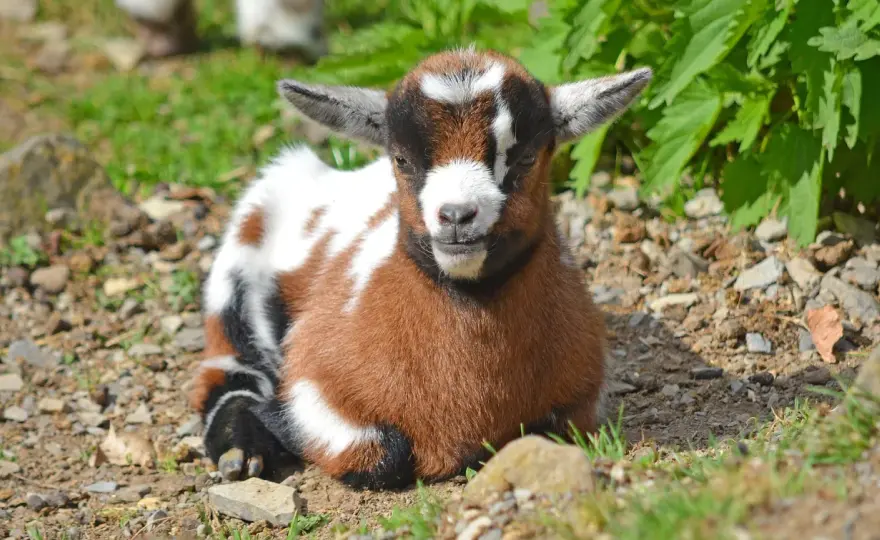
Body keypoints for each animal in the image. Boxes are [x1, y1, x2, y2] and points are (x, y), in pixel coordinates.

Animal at [191, 47, 651, 490]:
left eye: (525, 158)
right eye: (403, 159)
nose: (456, 215)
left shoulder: (582, 400)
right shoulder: (313, 383)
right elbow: (385, 454)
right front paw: (274, 423)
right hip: (240, 261)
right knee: (228, 368)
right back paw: (240, 449)